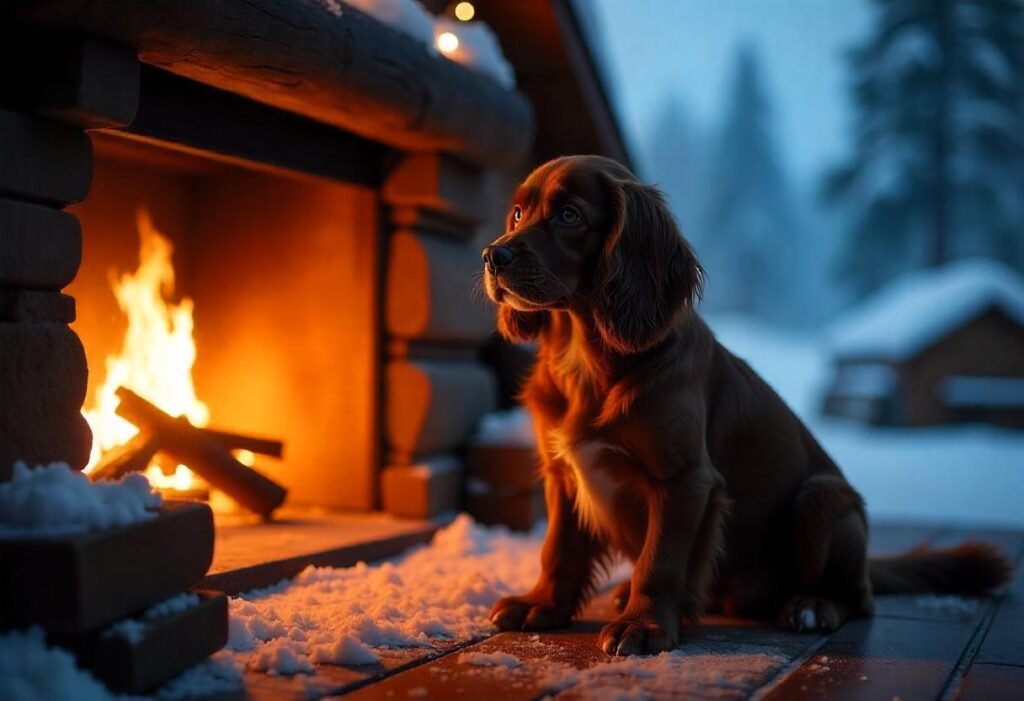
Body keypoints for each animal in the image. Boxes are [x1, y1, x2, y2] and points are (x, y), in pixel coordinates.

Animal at [479, 154, 1007, 654]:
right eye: (518, 213)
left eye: (569, 215)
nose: (491, 255)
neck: (587, 361)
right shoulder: (562, 474)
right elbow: (560, 548)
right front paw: (543, 605)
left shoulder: (685, 480)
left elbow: (661, 560)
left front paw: (642, 625)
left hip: (824, 500)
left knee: (859, 598)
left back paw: (812, 605)